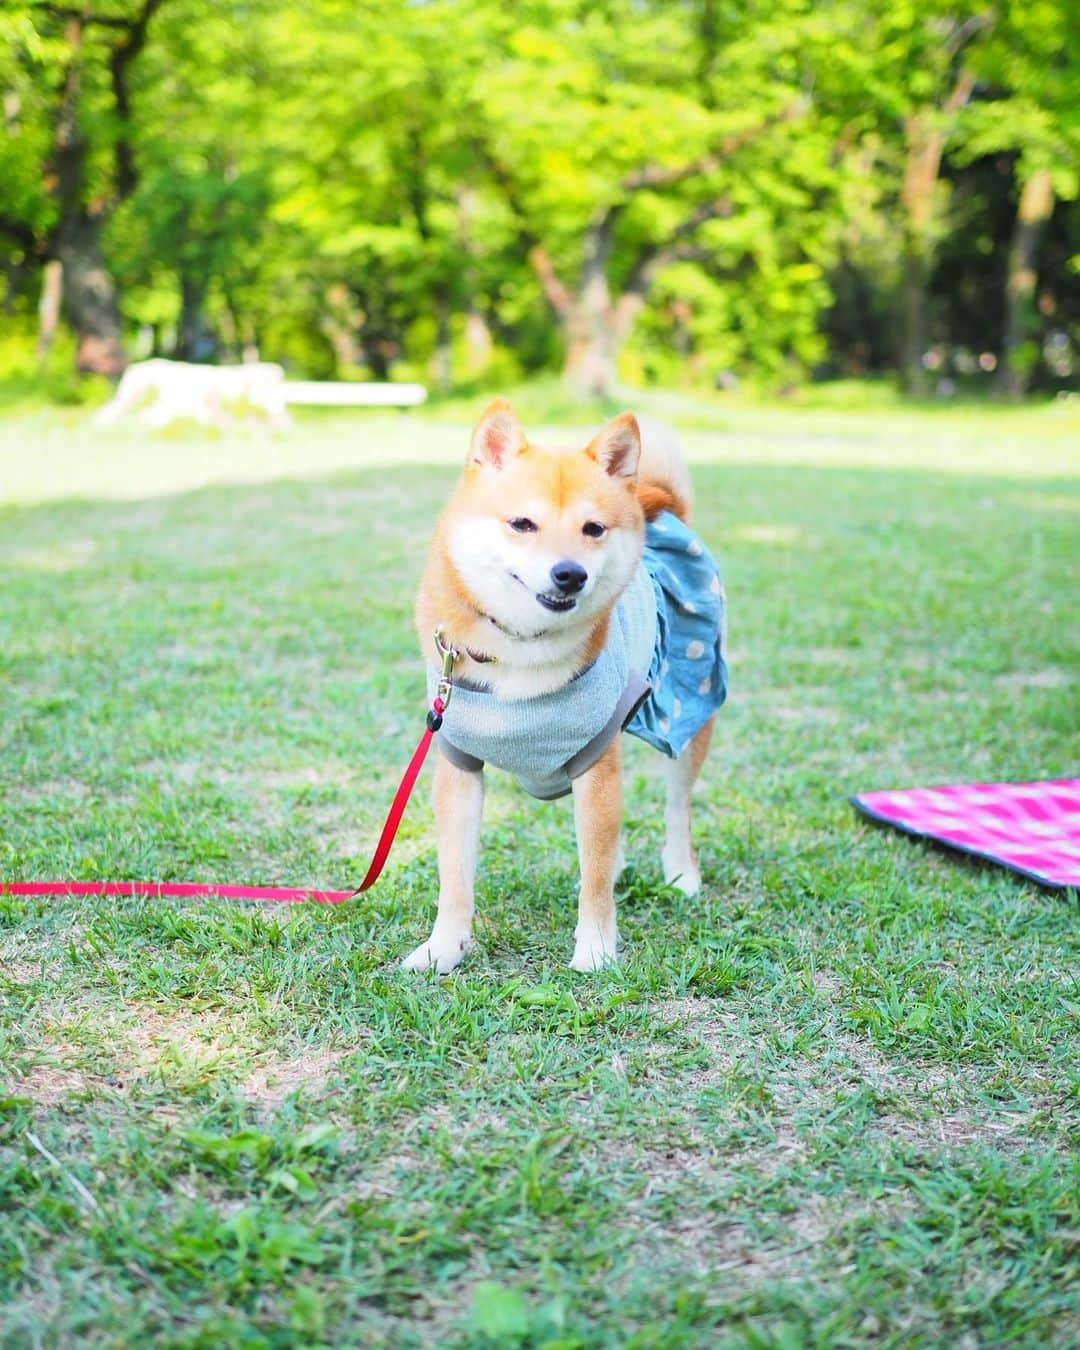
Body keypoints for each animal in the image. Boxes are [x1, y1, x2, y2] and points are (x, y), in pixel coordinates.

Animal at [405, 399, 723, 972]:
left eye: (593, 528)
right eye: (522, 524)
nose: (570, 573)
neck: (518, 648)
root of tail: (666, 508)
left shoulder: (596, 767)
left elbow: (592, 879)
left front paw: (595, 949)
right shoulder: (459, 767)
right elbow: (454, 879)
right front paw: (444, 948)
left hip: (687, 707)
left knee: (676, 806)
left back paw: (680, 871)